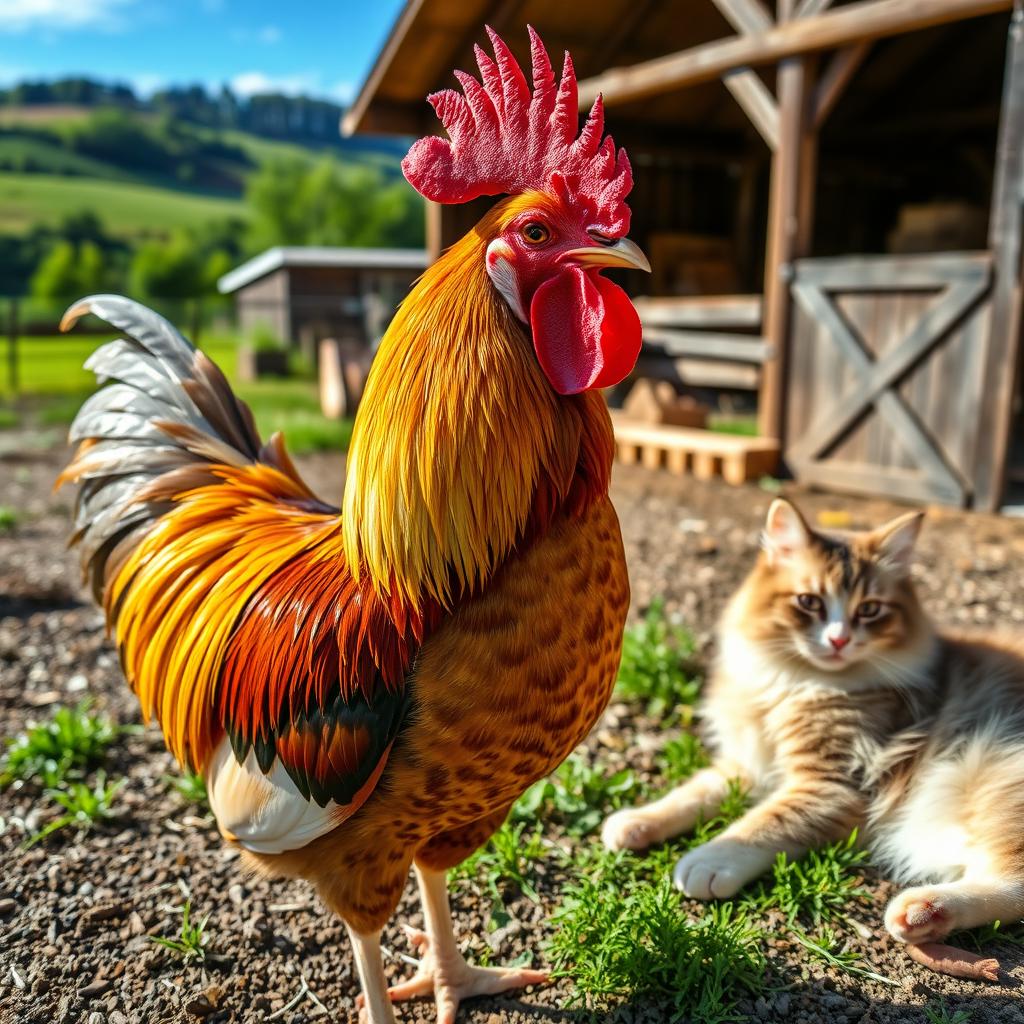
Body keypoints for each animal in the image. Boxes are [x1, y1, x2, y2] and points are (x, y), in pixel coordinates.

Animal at [598, 499, 1024, 946]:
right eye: (809, 602)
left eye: (869, 610)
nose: (839, 640)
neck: (793, 682)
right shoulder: (748, 763)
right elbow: (690, 794)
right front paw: (636, 821)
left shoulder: (830, 783)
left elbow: (762, 822)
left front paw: (705, 861)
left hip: (994, 781)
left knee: (1011, 886)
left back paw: (922, 910)